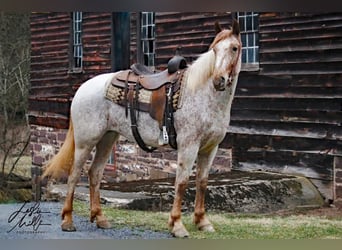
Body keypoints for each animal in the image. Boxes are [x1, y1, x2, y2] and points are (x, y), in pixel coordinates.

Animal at [42, 20, 242, 238]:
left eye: (234, 48)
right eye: (214, 50)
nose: (218, 80)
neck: (202, 94)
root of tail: (82, 89)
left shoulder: (210, 148)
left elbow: (202, 182)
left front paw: (202, 222)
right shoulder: (188, 146)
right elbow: (181, 183)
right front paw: (177, 225)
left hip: (107, 139)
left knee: (95, 173)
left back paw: (100, 218)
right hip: (85, 142)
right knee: (74, 175)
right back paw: (68, 220)